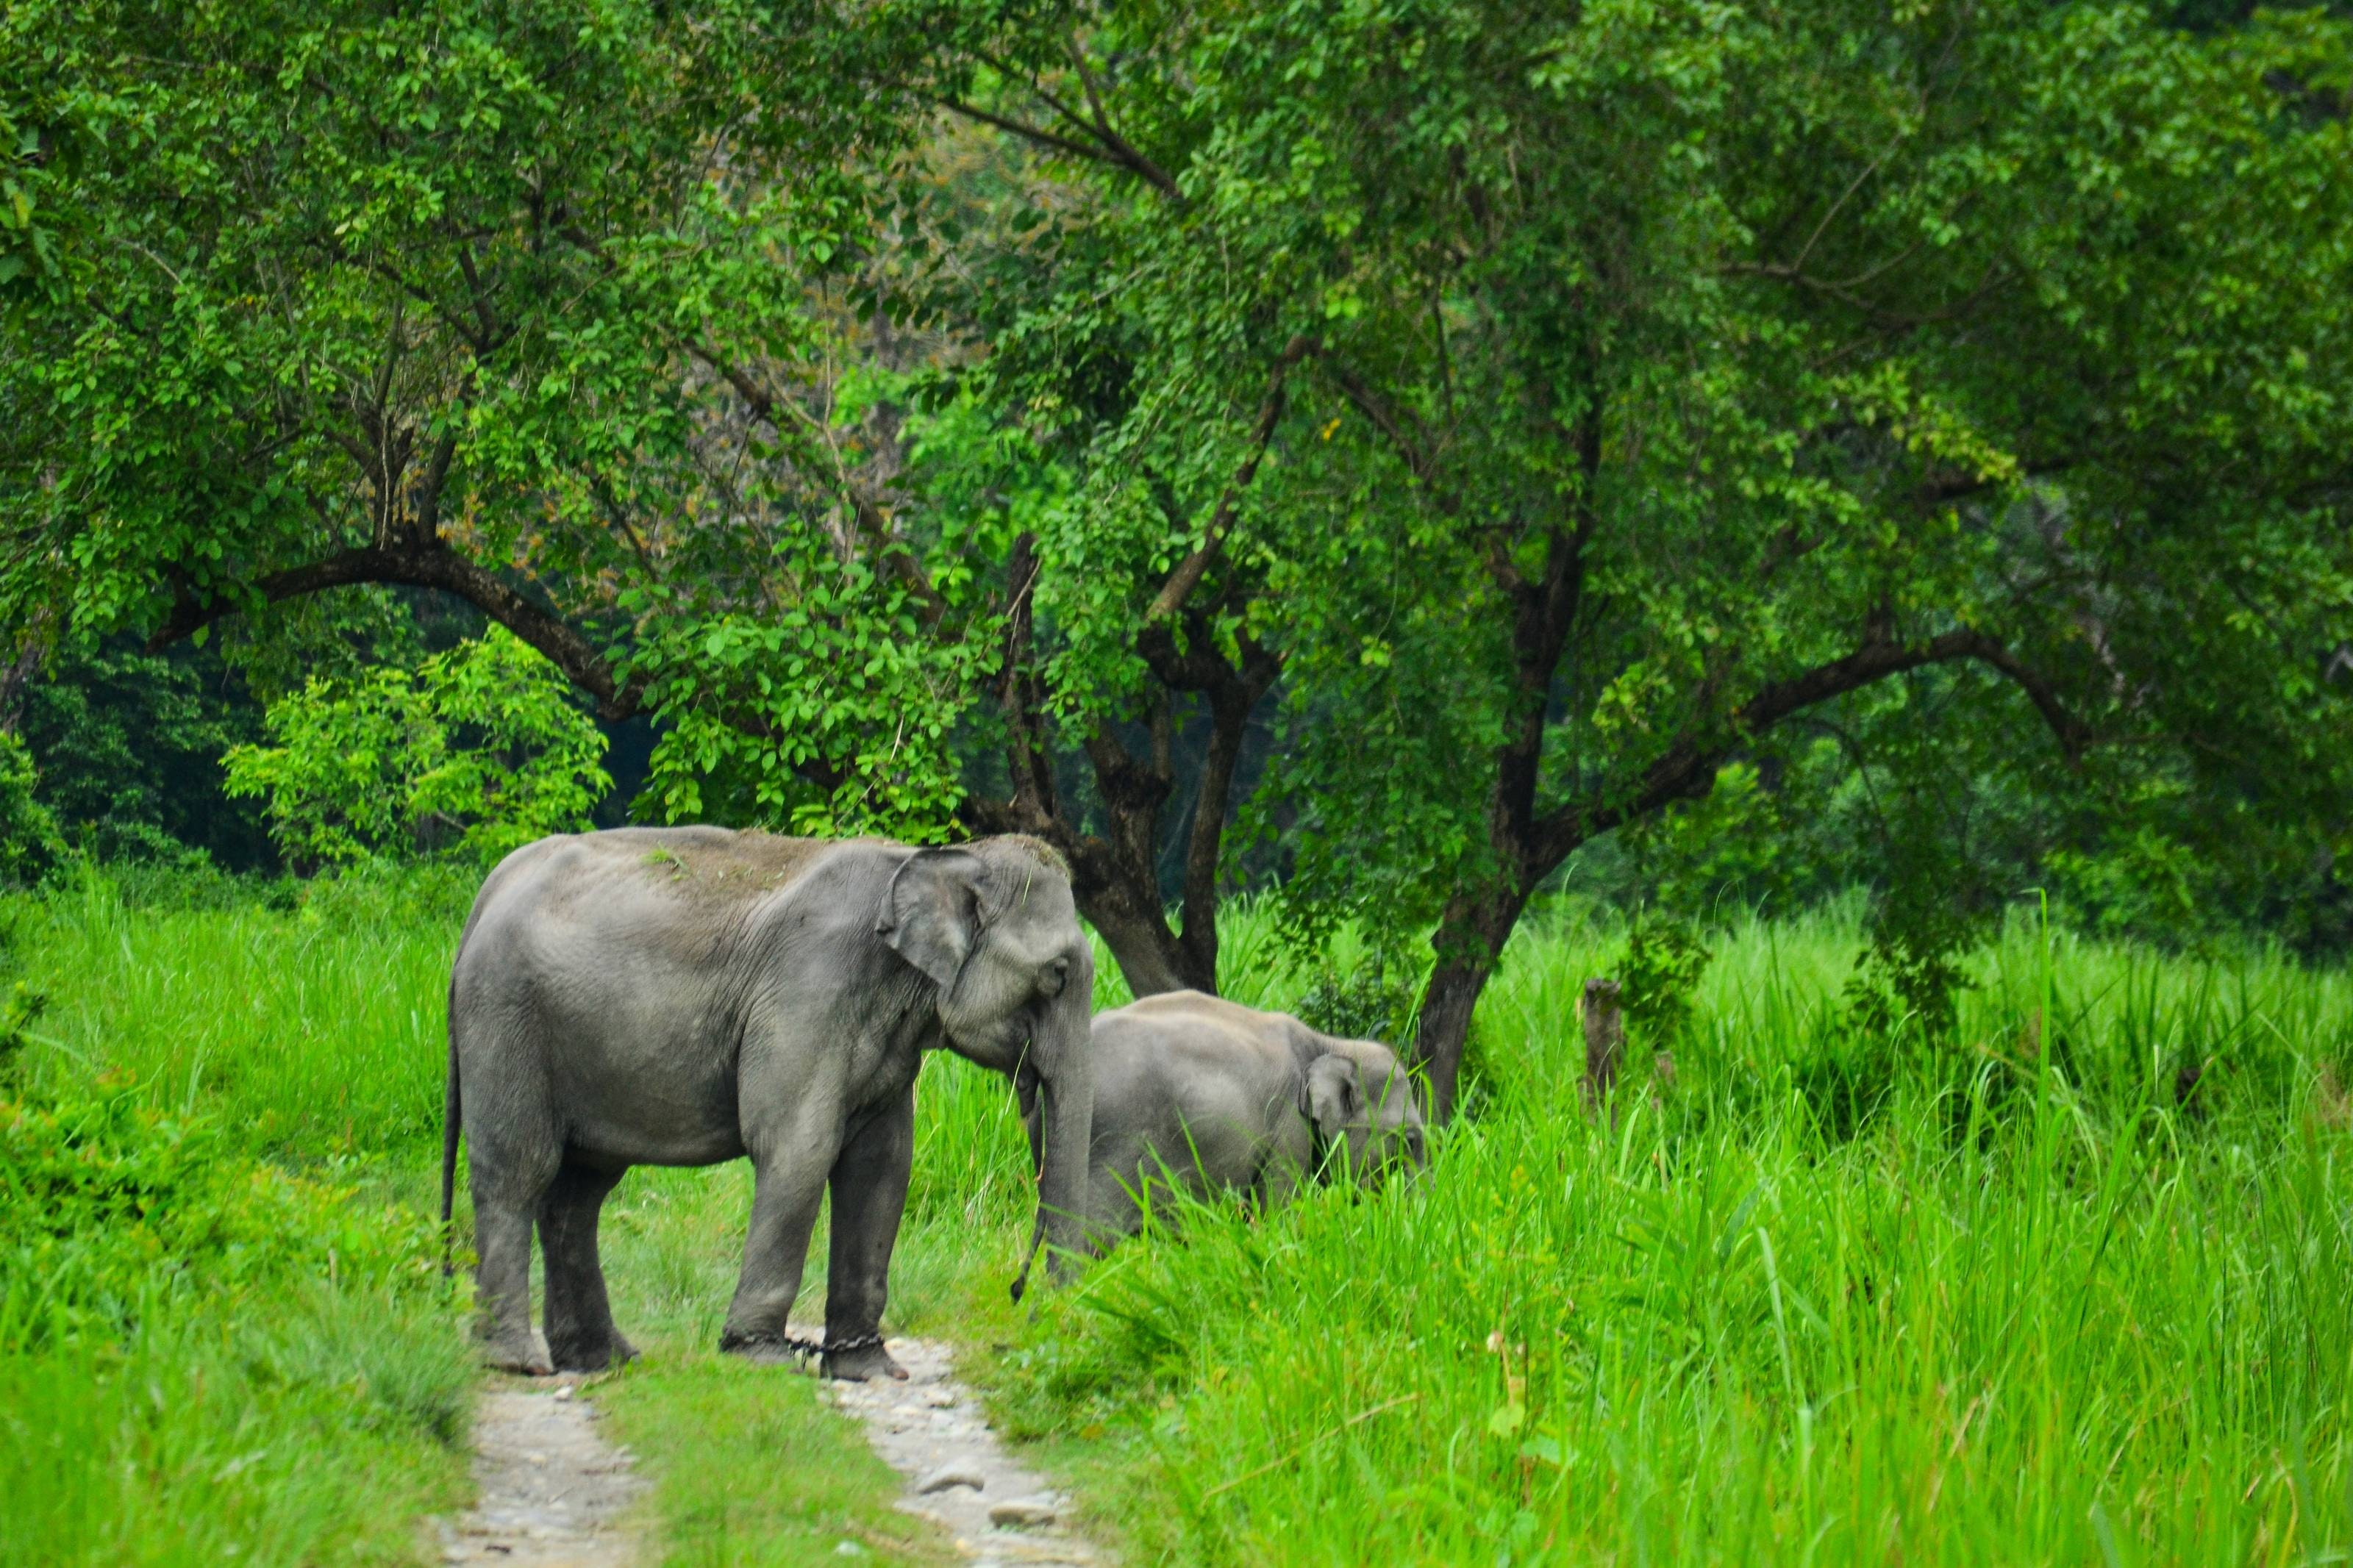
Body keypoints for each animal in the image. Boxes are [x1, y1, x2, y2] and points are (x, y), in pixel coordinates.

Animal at [439, 827, 1093, 1381]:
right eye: (1058, 974)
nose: (1022, 1296)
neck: (933, 857)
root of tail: (486, 894)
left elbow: (881, 1167)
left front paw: (870, 1370)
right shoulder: (809, 991)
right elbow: (799, 1146)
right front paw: (760, 1356)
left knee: (578, 1194)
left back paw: (604, 1359)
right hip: (505, 1016)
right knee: (518, 1173)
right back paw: (517, 1361)